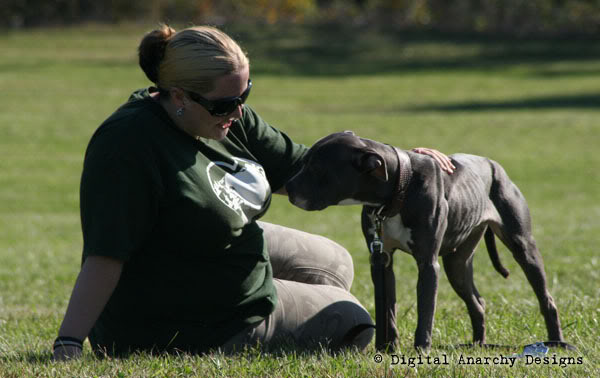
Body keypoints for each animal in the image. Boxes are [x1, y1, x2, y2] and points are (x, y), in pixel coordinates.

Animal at [286, 132, 568, 352]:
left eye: (318, 168)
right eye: (304, 162)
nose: (288, 187)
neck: (398, 188)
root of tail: (493, 164)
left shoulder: (427, 263)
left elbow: (425, 310)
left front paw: (421, 350)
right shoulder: (382, 262)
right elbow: (387, 310)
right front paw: (386, 349)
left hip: (523, 247)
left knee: (546, 300)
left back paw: (556, 342)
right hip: (457, 265)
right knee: (477, 303)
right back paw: (478, 344)